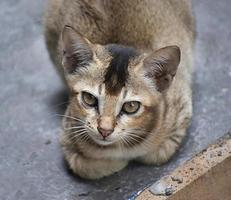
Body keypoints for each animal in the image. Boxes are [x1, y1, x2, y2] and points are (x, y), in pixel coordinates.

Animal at [44, 0, 194, 178]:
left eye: (131, 106)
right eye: (89, 98)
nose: (104, 130)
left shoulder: (181, 107)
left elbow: (157, 154)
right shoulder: (67, 134)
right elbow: (85, 166)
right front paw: (117, 161)